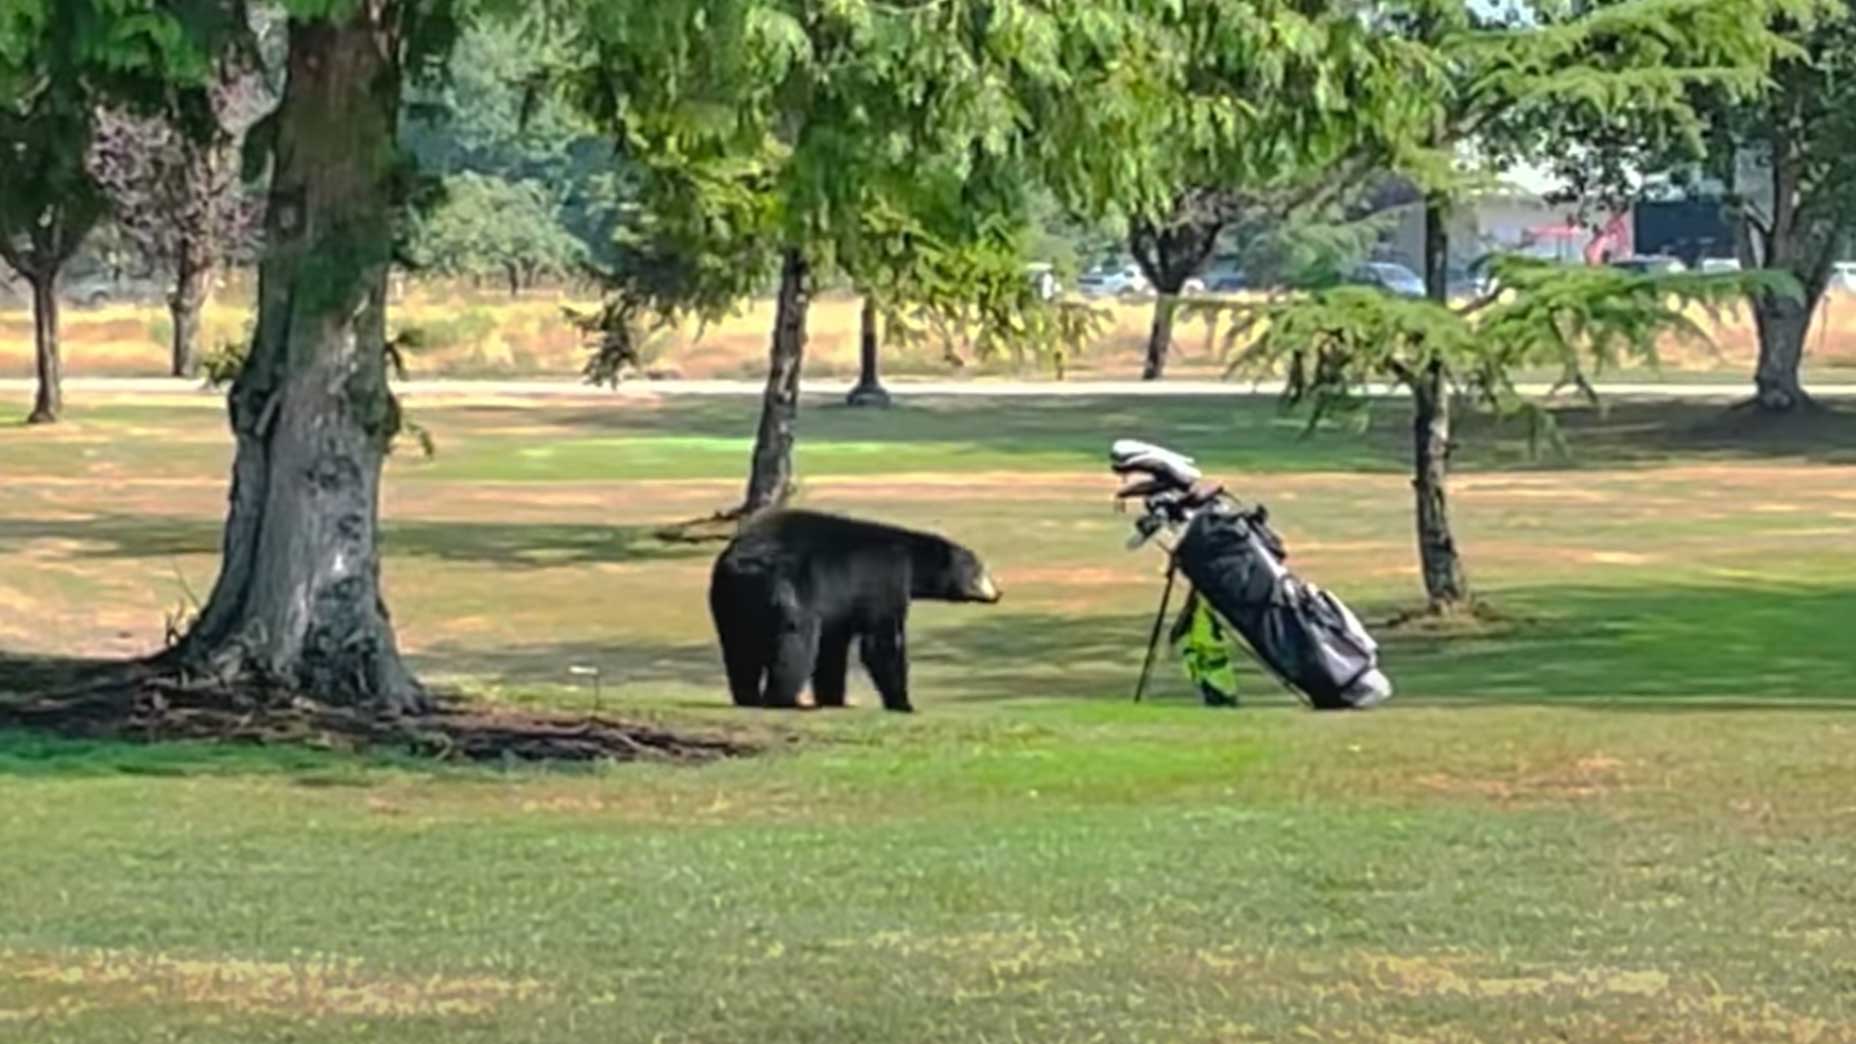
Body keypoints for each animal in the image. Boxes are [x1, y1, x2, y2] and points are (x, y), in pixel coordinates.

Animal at [708, 509, 1002, 713]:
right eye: (979, 570)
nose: (998, 592)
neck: (911, 559)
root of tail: (741, 562)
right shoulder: (885, 577)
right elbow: (883, 640)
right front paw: (903, 704)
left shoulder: (839, 603)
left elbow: (833, 646)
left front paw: (835, 699)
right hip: (786, 587)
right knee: (796, 639)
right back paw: (787, 700)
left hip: (729, 599)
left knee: (739, 646)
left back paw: (748, 697)